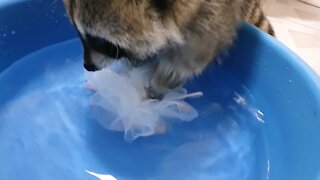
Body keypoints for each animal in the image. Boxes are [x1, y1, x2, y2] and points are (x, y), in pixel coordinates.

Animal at [63, 0, 274, 97]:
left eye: (99, 41)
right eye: (77, 32)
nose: (88, 66)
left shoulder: (212, 14)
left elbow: (191, 57)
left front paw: (160, 84)